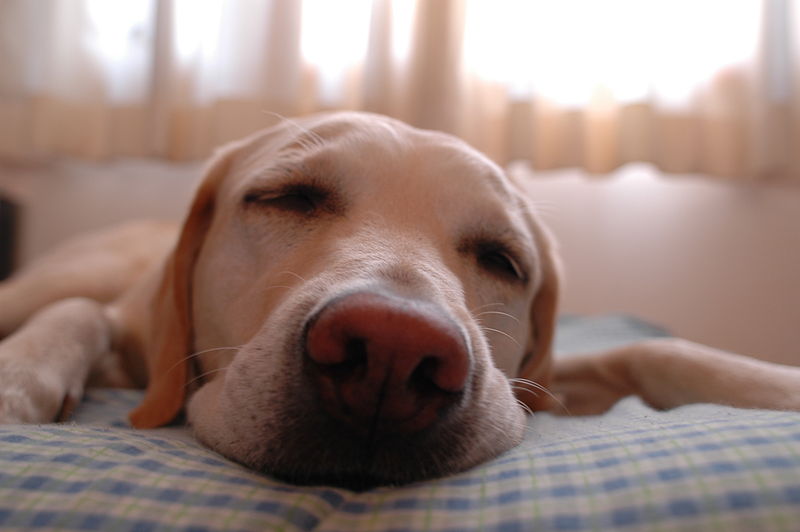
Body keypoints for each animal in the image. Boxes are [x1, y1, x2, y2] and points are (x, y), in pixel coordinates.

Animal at [1, 112, 800, 490]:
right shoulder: (124, 328)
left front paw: (772, 383)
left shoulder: (535, 383)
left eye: (503, 260)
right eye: (288, 198)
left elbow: (656, 348)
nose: (391, 351)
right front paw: (19, 380)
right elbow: (78, 314)